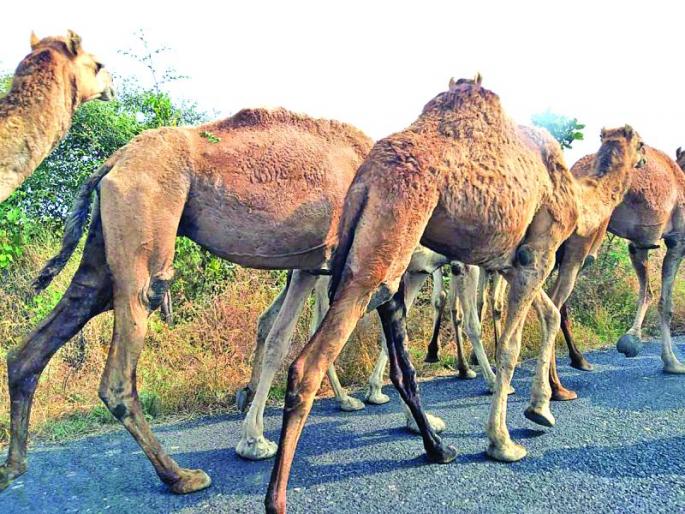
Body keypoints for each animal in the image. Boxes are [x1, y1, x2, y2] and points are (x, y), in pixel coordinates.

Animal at [0, 108, 374, 494]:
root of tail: (114, 161)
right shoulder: (328, 259)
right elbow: (290, 337)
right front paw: (257, 440)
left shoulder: (312, 262)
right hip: (144, 211)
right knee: (125, 353)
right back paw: (181, 477)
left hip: (103, 243)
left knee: (53, 328)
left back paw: (13, 468)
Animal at [265, 76, 645, 513]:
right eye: (641, 145)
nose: (645, 160)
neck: (575, 195)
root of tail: (366, 175)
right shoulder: (540, 252)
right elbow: (511, 345)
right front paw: (503, 441)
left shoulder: (510, 260)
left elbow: (547, 315)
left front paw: (543, 407)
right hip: (391, 233)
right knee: (308, 361)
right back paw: (277, 496)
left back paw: (434, 444)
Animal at [559, 144, 685, 375]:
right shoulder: (678, 241)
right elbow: (666, 303)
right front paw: (672, 363)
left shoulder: (638, 245)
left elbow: (648, 292)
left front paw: (631, 341)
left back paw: (577, 361)